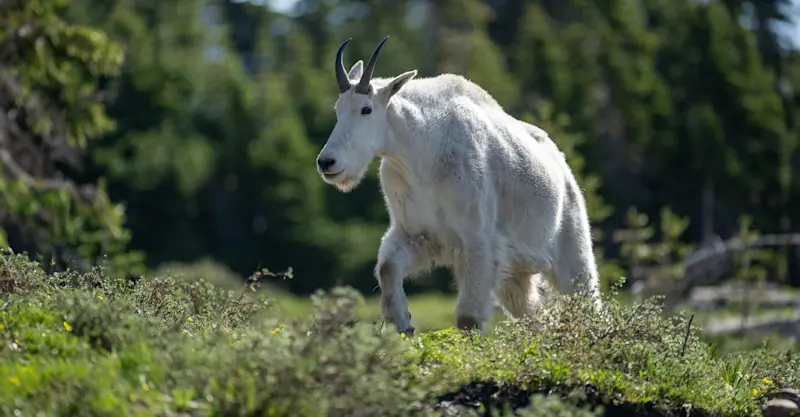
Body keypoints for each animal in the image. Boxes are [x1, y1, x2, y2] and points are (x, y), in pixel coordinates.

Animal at [316, 36, 602, 336]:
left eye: (366, 109)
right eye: (337, 109)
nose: (327, 162)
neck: (420, 153)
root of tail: (561, 163)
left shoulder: (478, 241)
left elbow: (469, 319)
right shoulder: (416, 234)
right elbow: (388, 268)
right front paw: (405, 324)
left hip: (572, 246)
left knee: (586, 299)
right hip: (516, 273)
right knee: (532, 312)